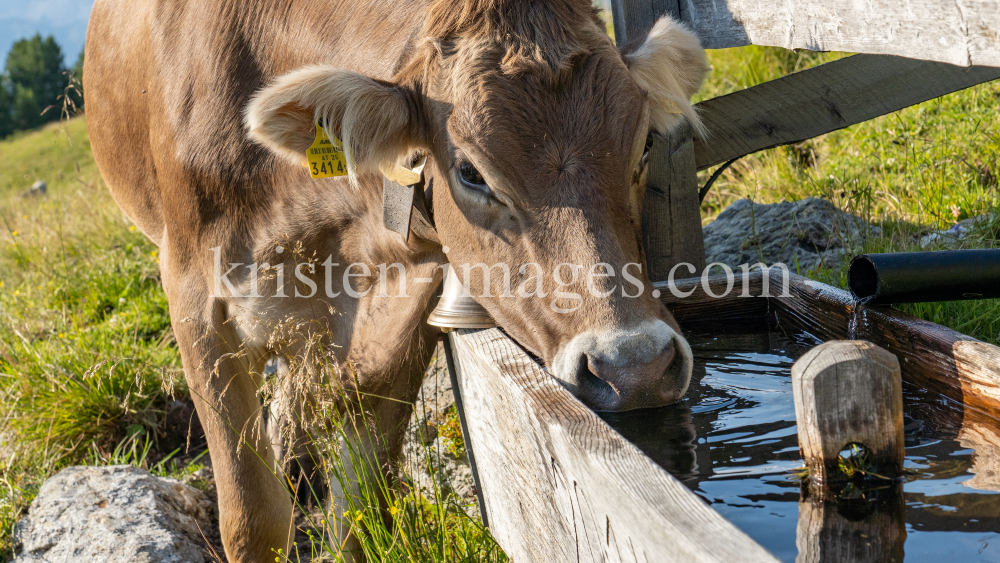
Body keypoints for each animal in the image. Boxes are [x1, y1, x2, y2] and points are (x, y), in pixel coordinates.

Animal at [86, 1, 712, 560]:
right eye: (470, 172)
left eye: (645, 145)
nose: (635, 366)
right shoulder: (195, 301)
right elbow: (254, 522)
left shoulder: (406, 312)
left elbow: (360, 512)